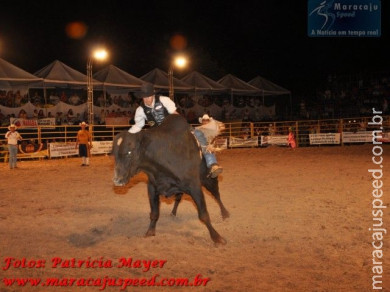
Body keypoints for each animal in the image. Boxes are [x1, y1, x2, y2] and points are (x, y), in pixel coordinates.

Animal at [110, 114, 229, 244]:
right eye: (114, 153)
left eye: (129, 152)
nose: (117, 180)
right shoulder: (152, 188)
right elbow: (154, 213)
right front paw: (150, 232)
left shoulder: (195, 187)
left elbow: (204, 215)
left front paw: (217, 237)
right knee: (178, 197)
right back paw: (173, 213)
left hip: (209, 180)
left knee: (216, 194)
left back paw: (225, 213)